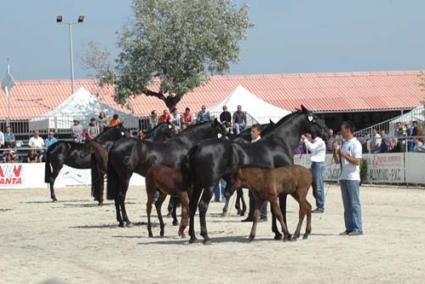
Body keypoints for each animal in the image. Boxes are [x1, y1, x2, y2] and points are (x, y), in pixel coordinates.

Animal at [181, 105, 328, 243]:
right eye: (315, 118)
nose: (328, 132)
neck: (279, 143)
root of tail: (197, 147)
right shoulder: (282, 190)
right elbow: (281, 210)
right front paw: (286, 233)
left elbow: (273, 211)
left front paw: (277, 233)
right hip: (209, 185)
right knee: (202, 206)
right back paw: (205, 236)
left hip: (198, 185)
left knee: (192, 206)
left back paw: (192, 236)